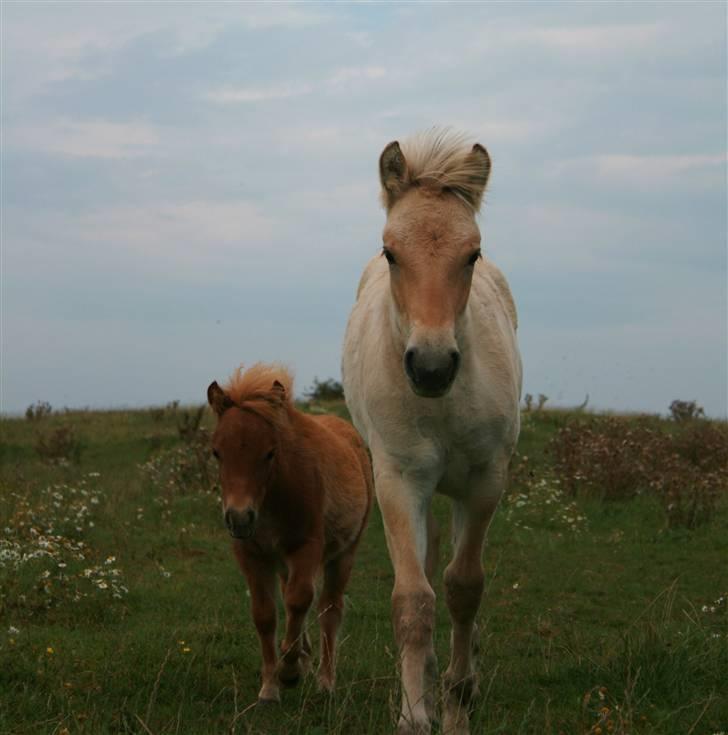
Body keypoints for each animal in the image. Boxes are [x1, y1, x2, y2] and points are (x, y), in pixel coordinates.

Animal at [208, 366, 372, 704]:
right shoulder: (251, 555)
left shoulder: (306, 548)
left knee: (328, 609)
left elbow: (300, 601)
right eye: (216, 452)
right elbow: (265, 614)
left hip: (342, 555)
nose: (240, 517)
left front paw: (290, 671)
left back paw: (324, 681)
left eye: (270, 453)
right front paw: (270, 687)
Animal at [342, 129, 520, 732]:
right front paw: (415, 713)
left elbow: (465, 585)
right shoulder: (398, 480)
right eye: (391, 252)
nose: (432, 366)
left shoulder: (486, 481)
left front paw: (458, 700)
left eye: (473, 254)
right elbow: (412, 598)